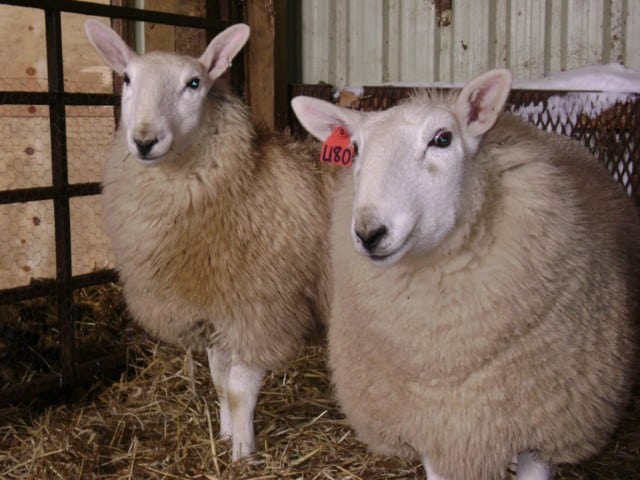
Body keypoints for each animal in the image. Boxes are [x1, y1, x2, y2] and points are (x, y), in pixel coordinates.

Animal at [84, 19, 336, 462]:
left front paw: (242, 452)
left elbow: (238, 390)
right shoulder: (214, 308)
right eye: (127, 79)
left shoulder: (259, 311)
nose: (144, 140)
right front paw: (224, 433)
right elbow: (219, 381)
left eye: (194, 83)